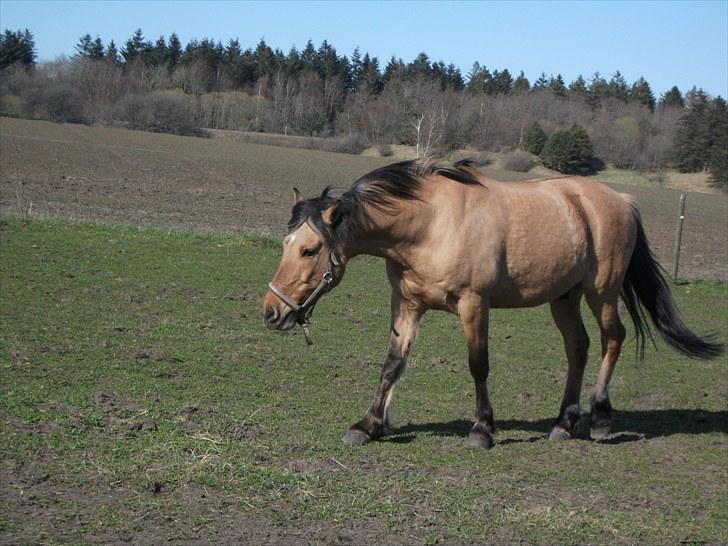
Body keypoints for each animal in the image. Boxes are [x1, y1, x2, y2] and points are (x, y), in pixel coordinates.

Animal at [258, 157, 720, 446]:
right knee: (579, 348)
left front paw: (482, 430)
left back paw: (601, 418)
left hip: (601, 292)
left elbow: (478, 365)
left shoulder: (473, 304)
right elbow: (392, 364)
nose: (271, 312)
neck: (429, 224)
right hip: (564, 298)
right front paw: (369, 425)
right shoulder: (407, 304)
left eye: (309, 250)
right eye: (285, 244)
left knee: (613, 340)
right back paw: (565, 422)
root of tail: (621, 200)